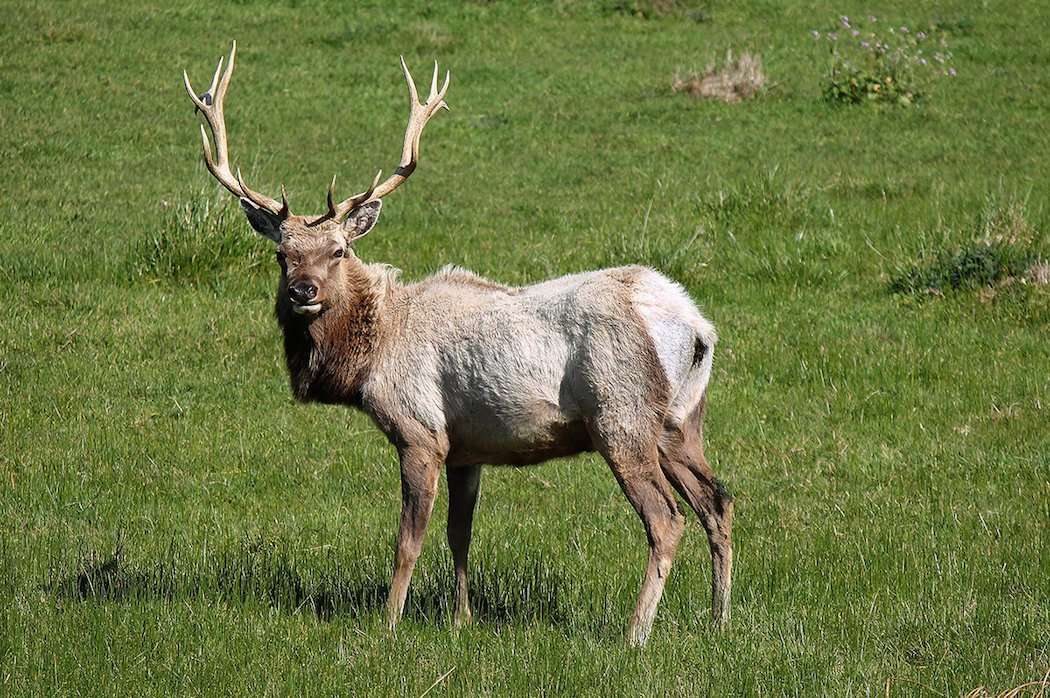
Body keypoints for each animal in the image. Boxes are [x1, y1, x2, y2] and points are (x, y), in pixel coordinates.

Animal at [183, 42, 733, 647]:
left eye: (338, 251)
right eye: (282, 255)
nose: (303, 291)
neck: (372, 355)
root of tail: (698, 327)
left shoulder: (419, 430)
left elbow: (409, 540)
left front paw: (389, 622)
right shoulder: (467, 447)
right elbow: (459, 534)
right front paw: (461, 618)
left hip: (622, 415)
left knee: (666, 517)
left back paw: (635, 633)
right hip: (681, 421)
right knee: (718, 500)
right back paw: (719, 620)